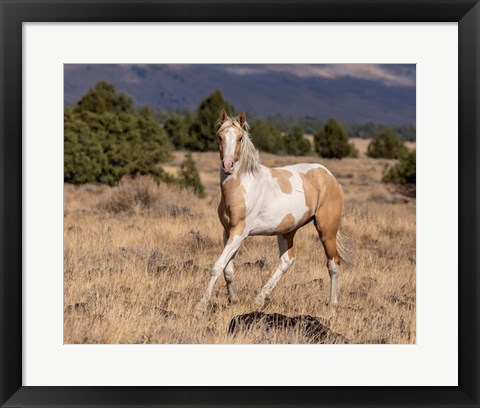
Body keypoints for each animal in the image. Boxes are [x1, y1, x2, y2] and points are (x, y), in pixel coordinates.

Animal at [195, 108, 348, 310]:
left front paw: (201, 304)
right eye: (219, 136)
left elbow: (217, 266)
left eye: (240, 138)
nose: (227, 166)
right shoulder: (228, 232)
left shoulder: (240, 232)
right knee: (286, 261)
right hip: (287, 231)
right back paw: (259, 298)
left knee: (333, 263)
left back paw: (333, 305)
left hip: (326, 230)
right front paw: (233, 300)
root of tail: (329, 177)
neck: (242, 186)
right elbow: (228, 269)